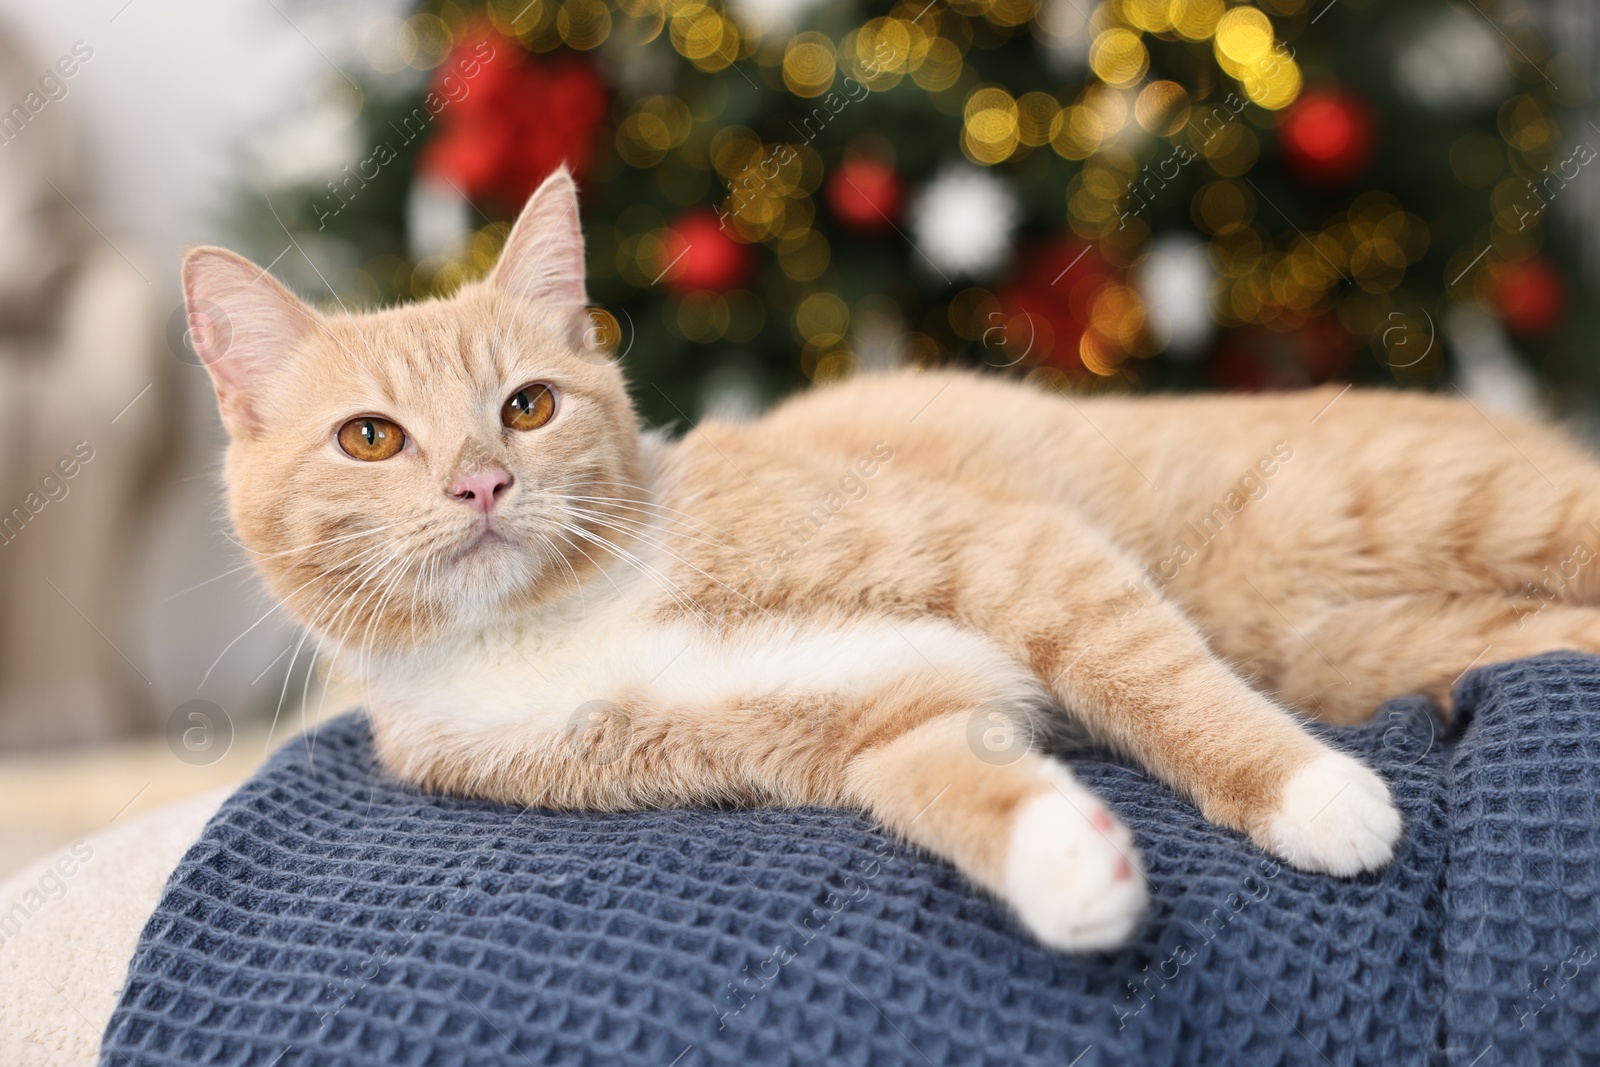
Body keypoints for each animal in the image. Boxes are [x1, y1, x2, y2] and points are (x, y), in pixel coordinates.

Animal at [184, 167, 1600, 953]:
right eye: (371, 436)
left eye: (527, 406)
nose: (482, 481)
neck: (568, 618)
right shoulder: (881, 716)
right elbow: (953, 784)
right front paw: (1071, 867)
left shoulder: (1017, 553)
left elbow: (1157, 683)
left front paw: (1309, 792)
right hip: (1377, 643)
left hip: (1437, 503)